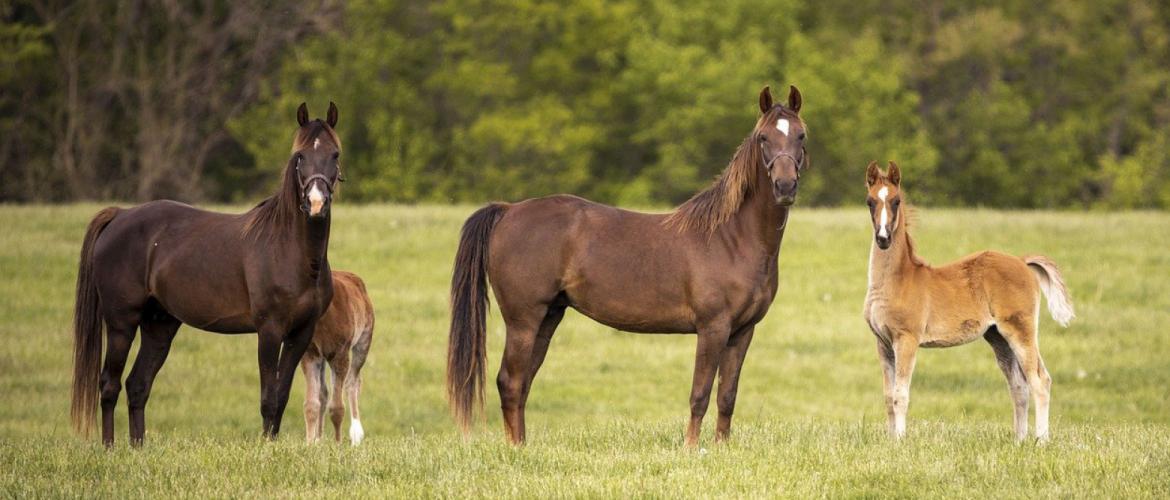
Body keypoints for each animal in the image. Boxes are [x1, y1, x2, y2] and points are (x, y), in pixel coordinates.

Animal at [70, 101, 341, 447]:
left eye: (335, 154)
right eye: (300, 156)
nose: (316, 203)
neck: (289, 250)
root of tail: (120, 216)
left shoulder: (300, 333)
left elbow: (280, 396)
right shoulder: (269, 330)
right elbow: (268, 398)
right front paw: (266, 448)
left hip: (159, 326)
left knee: (137, 385)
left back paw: (138, 448)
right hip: (121, 324)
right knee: (109, 385)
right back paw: (109, 448)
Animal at [301, 271, 374, 444]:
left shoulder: (340, 352)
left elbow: (337, 407)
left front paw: (337, 444)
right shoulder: (310, 354)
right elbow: (311, 404)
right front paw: (309, 444)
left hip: (364, 341)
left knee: (353, 382)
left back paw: (356, 436)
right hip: (322, 357)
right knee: (323, 392)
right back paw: (318, 439)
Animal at [442, 86, 809, 447]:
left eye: (801, 135)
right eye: (763, 137)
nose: (785, 186)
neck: (730, 237)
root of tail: (508, 211)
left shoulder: (742, 331)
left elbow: (727, 396)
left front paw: (721, 448)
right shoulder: (713, 328)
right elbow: (700, 394)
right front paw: (691, 449)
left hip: (548, 317)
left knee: (523, 383)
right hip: (523, 320)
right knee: (511, 381)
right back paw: (516, 450)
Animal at [861, 161, 1076, 442]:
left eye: (896, 201)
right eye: (870, 201)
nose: (883, 238)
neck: (897, 281)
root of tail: (1022, 261)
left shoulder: (906, 339)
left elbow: (900, 395)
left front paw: (900, 441)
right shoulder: (883, 343)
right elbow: (888, 397)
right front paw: (890, 441)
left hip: (1021, 330)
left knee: (1040, 380)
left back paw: (1040, 441)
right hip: (997, 336)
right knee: (1019, 386)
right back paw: (1019, 441)